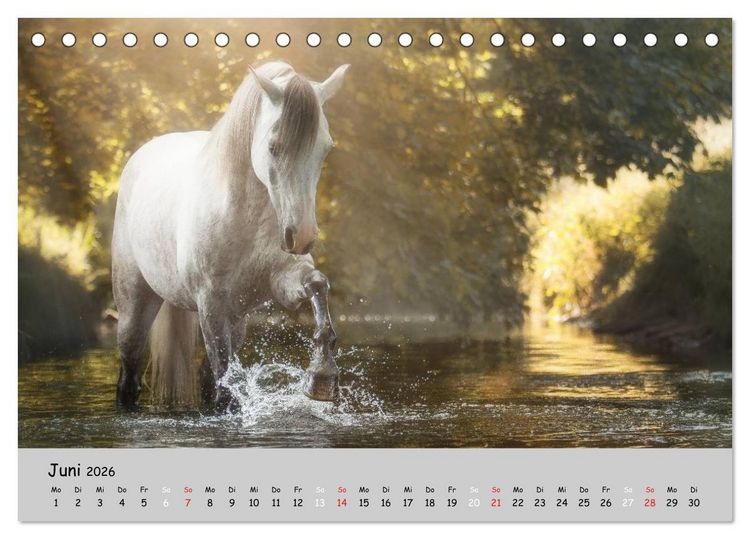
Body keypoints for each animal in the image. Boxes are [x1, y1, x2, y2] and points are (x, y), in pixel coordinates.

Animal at [111, 61, 350, 410]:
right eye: (273, 146)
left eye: (325, 149)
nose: (302, 236)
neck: (243, 217)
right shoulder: (211, 303)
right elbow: (225, 381)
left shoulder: (283, 280)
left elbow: (317, 285)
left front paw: (322, 376)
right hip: (135, 305)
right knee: (129, 374)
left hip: (237, 319)